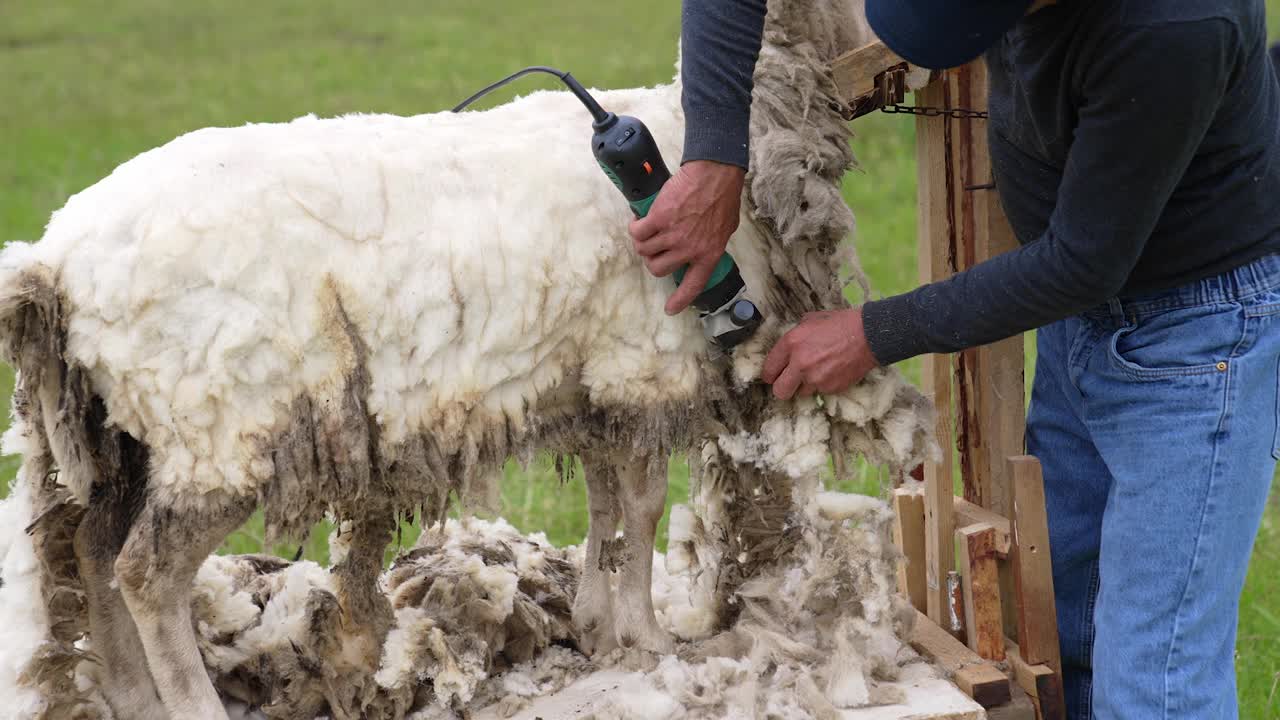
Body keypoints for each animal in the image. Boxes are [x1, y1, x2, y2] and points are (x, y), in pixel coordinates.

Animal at [0, 0, 931, 712]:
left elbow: (606, 508)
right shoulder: (641, 360)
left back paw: (130, 696)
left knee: (93, 548)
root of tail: (55, 259)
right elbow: (638, 508)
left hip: (127, 433)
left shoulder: (591, 380)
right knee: (147, 572)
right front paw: (646, 636)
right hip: (217, 424)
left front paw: (598, 625)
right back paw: (187, 702)